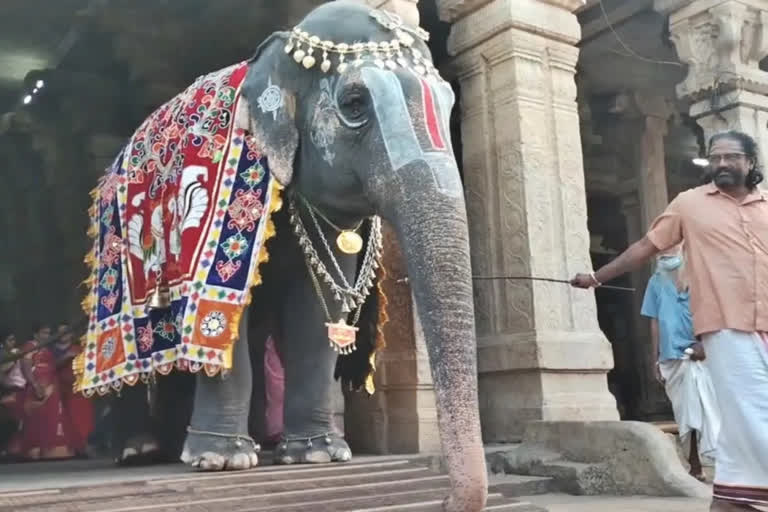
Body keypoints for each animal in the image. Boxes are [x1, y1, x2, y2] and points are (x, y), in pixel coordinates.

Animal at [76, 2, 486, 510]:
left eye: (450, 104)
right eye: (354, 104)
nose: (446, 501)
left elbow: (315, 311)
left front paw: (320, 456)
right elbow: (222, 313)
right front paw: (222, 462)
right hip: (112, 245)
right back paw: (144, 450)